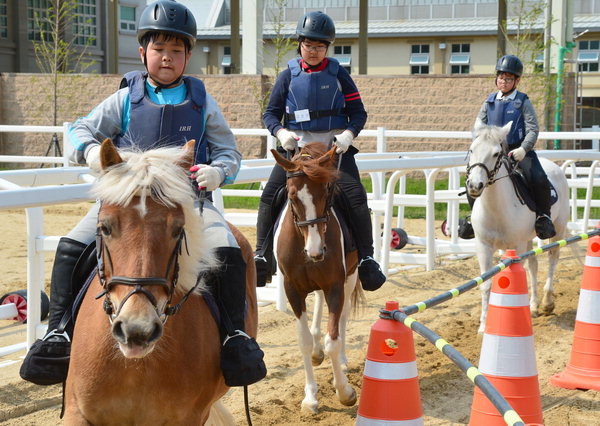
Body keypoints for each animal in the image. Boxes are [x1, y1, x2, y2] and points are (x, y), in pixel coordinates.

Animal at [64, 139, 256, 422]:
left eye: (177, 229)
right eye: (105, 227)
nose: (137, 330)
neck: (136, 368)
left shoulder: (191, 417)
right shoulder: (77, 411)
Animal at [270, 142, 360, 412]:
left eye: (327, 192)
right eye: (291, 196)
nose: (316, 251)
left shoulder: (335, 286)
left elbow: (334, 339)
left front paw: (344, 391)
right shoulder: (293, 289)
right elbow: (304, 341)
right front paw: (310, 397)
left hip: (350, 277)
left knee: (343, 318)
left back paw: (342, 362)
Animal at [466, 120, 568, 332]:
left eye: (496, 153)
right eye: (472, 149)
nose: (474, 185)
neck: (496, 209)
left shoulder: (517, 247)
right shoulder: (484, 246)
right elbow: (486, 284)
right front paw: (484, 326)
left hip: (558, 230)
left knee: (553, 259)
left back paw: (547, 302)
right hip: (529, 240)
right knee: (533, 265)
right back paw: (534, 306)